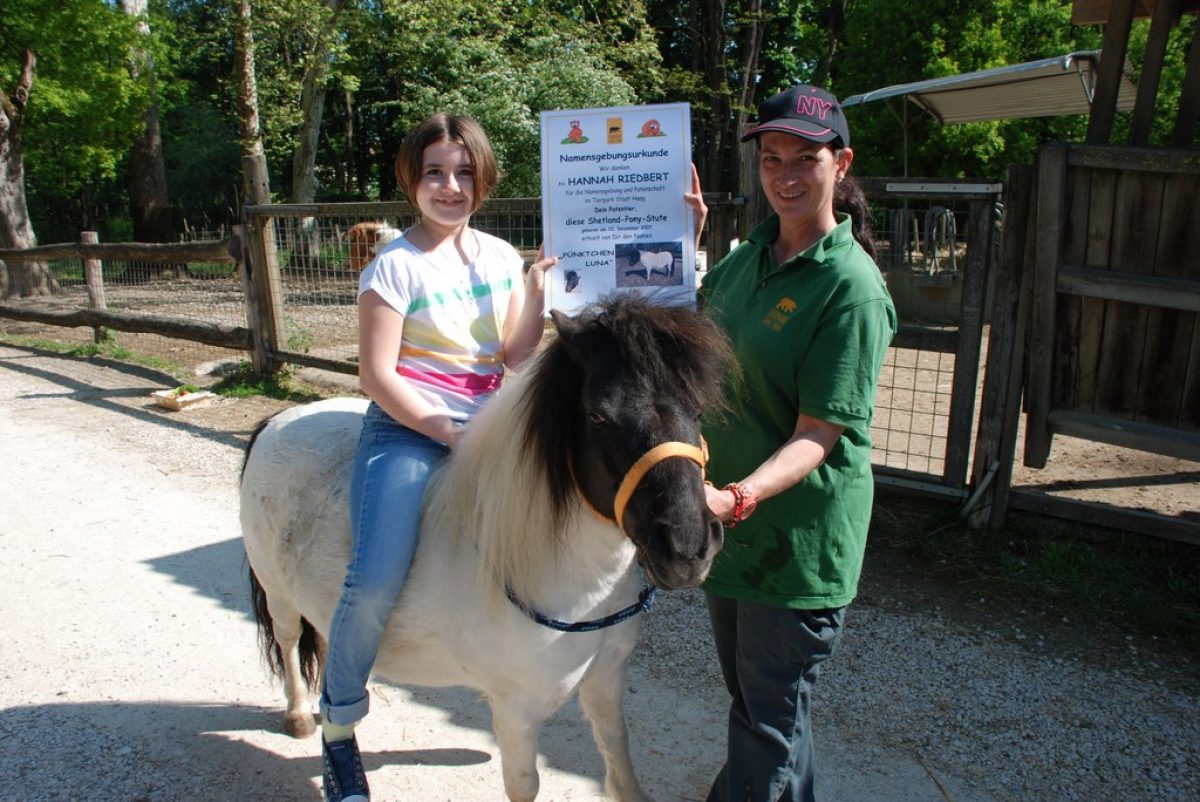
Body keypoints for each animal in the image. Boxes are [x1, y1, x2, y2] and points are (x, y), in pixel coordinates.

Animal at [241, 296, 729, 802]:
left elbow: (619, 758)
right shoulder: (516, 710)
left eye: (696, 410)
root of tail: (275, 422)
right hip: (279, 594)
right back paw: (301, 716)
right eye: (598, 415)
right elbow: (525, 785)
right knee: (290, 638)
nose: (687, 546)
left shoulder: (606, 681)